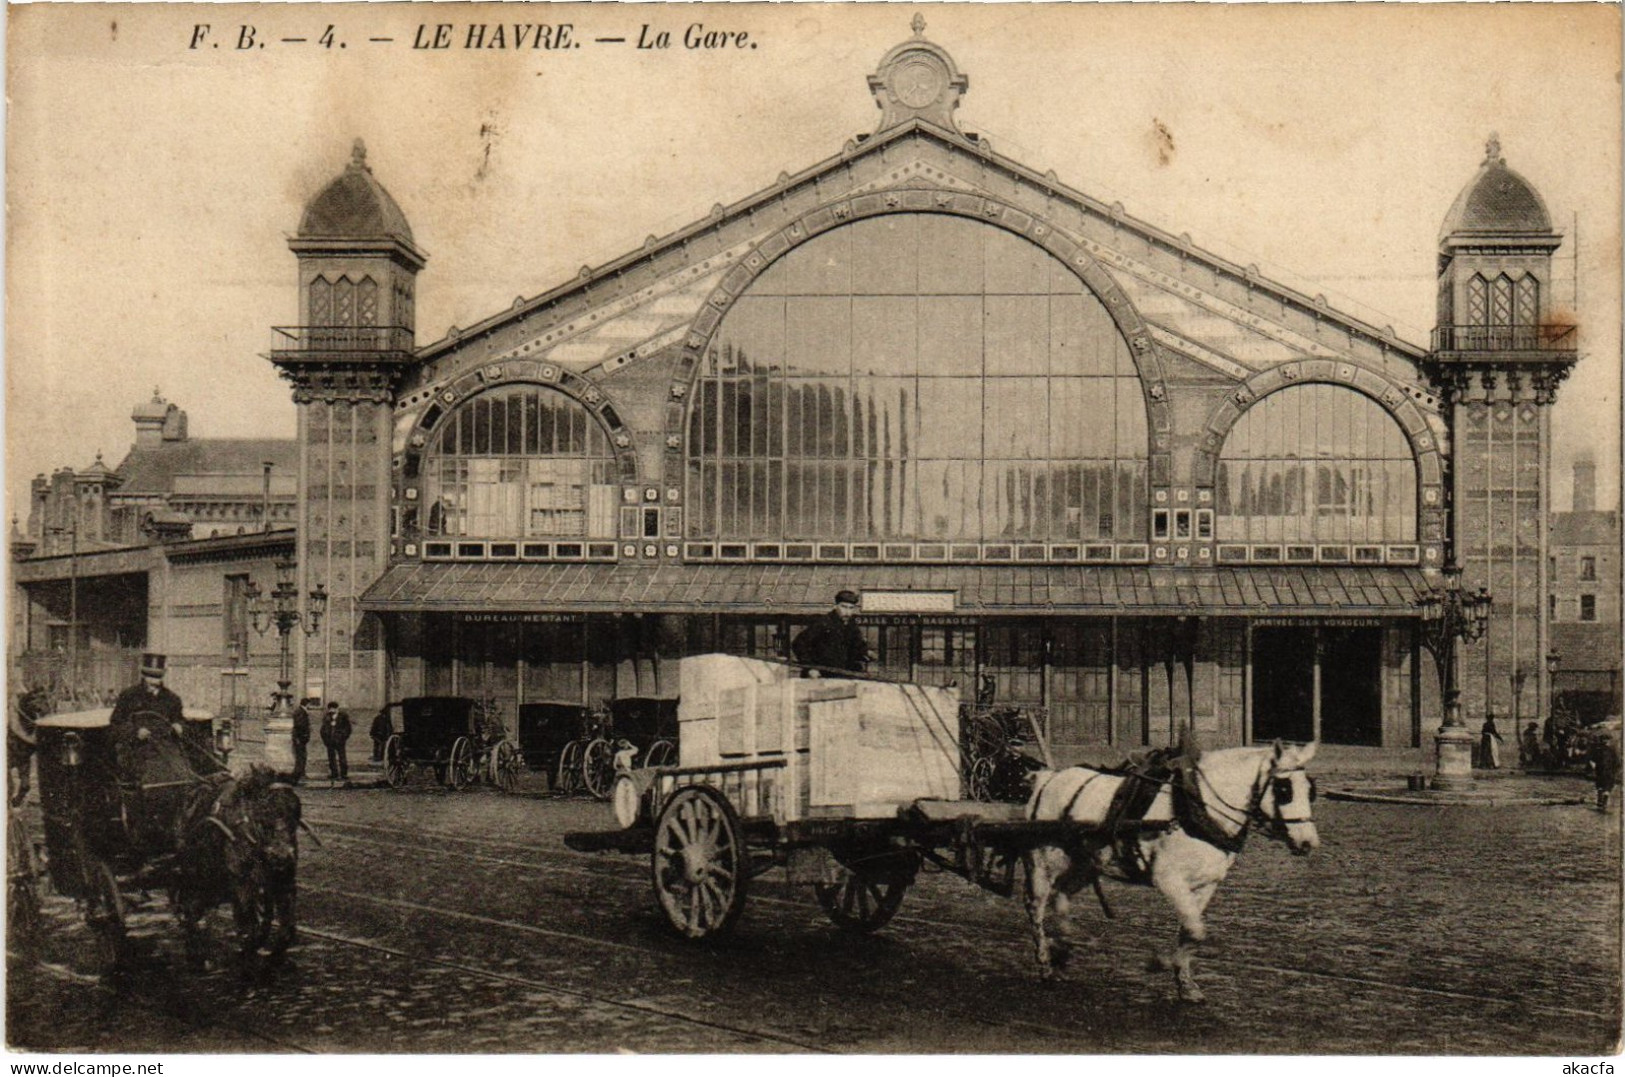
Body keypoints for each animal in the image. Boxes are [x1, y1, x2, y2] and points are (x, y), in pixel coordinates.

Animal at [1027, 740, 1319, 1000]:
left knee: (1061, 896)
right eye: (1284, 789)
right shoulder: (1168, 879)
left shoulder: (1205, 885)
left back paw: (1063, 948)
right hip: (1044, 862)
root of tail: (1048, 779)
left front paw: (1185, 983)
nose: (1308, 843)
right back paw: (1045, 964)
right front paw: (1161, 962)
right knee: (1036, 907)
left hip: (1085, 864)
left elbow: (1191, 930)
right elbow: (1195, 930)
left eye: (1310, 790)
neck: (1197, 810)